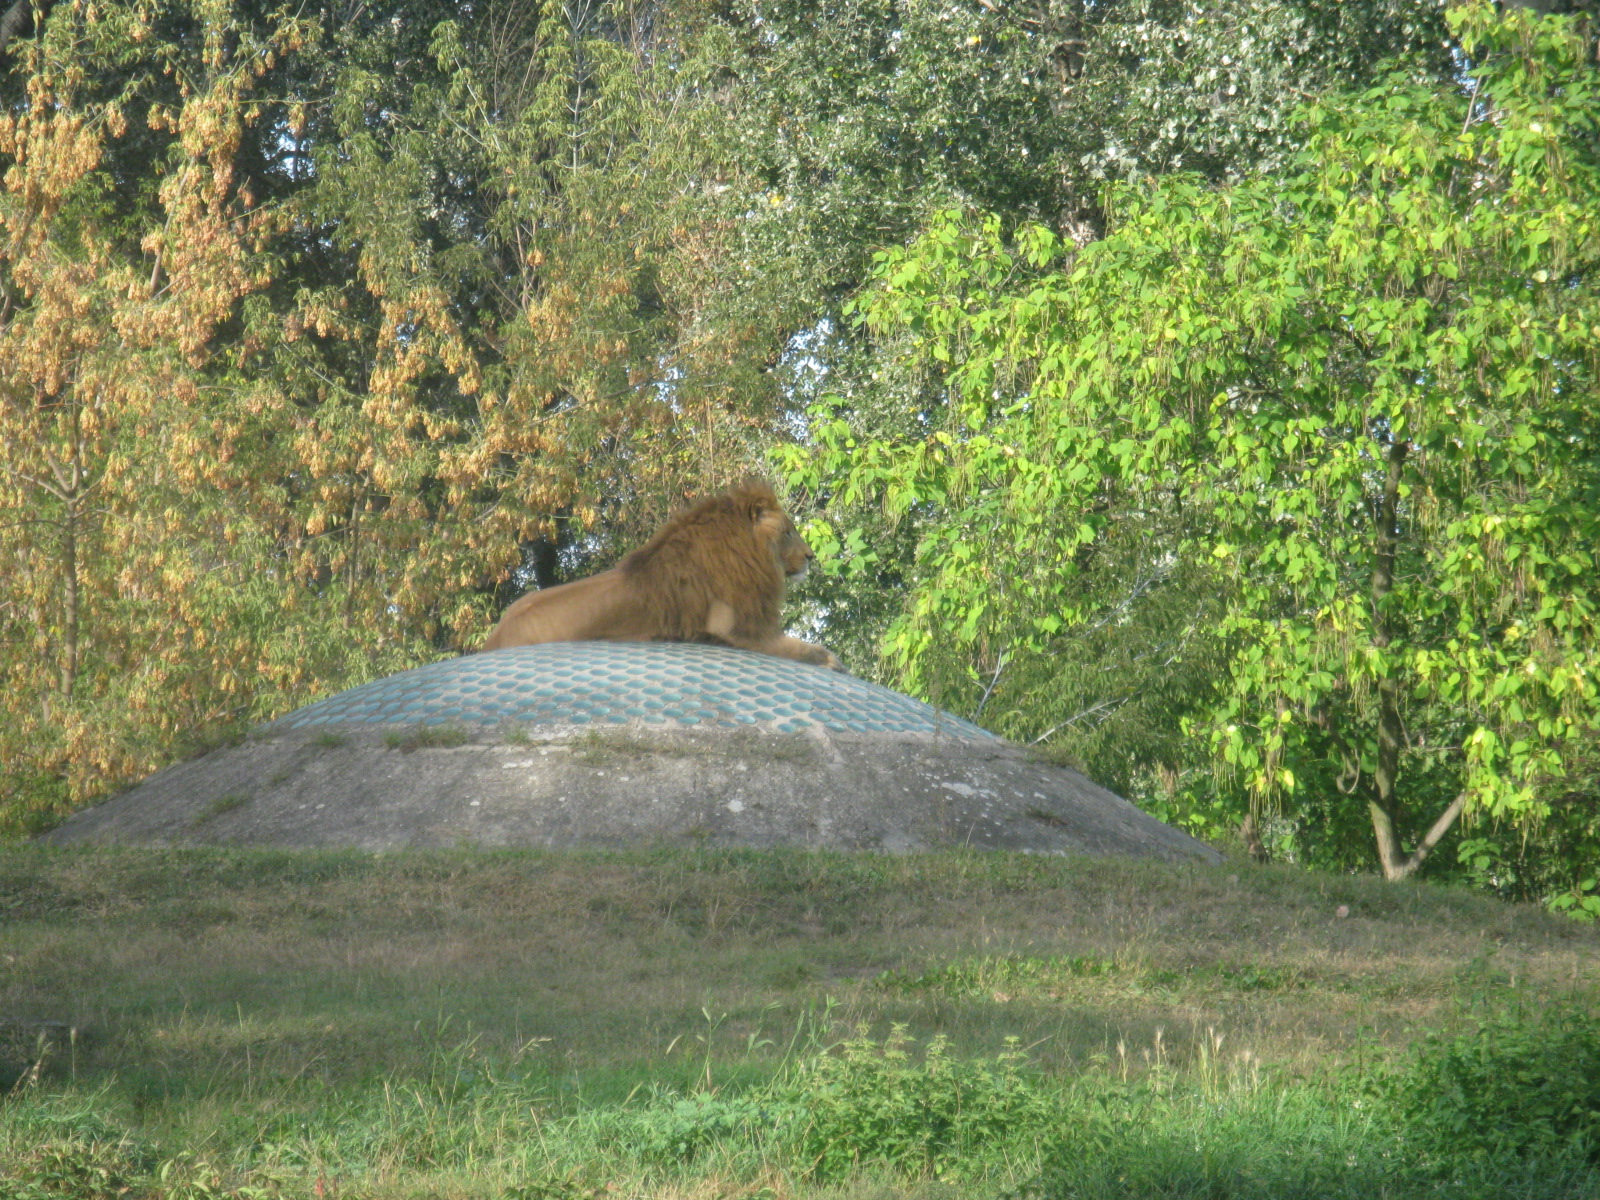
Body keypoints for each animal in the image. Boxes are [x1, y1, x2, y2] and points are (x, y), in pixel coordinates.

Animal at [482, 480, 843, 670]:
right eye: (788, 532)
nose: (811, 556)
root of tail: (493, 640)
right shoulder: (738, 630)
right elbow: (805, 650)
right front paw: (833, 662)